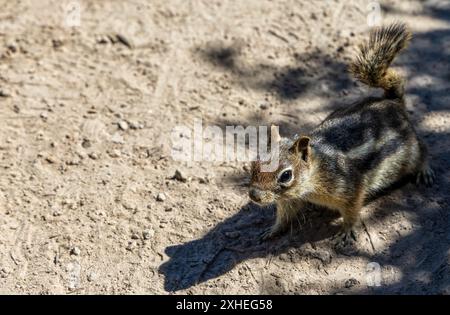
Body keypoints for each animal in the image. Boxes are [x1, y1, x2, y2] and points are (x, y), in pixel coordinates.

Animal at [248, 22, 434, 247]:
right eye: (254, 164)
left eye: (286, 175)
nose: (254, 196)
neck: (316, 172)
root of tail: (392, 101)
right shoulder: (290, 199)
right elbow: (285, 216)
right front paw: (272, 230)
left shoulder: (351, 189)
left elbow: (352, 212)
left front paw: (346, 231)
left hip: (410, 151)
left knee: (423, 150)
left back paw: (425, 171)